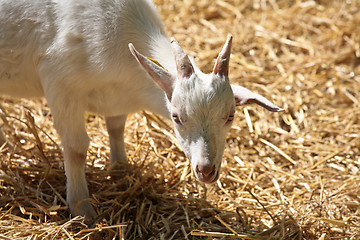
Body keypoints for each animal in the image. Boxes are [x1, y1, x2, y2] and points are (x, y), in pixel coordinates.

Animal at [0, 0, 284, 221]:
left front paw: (121, 170)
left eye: (230, 116)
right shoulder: (60, 84)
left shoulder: (116, 98)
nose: (206, 170)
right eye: (176, 117)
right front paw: (82, 209)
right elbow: (76, 148)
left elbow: (116, 128)